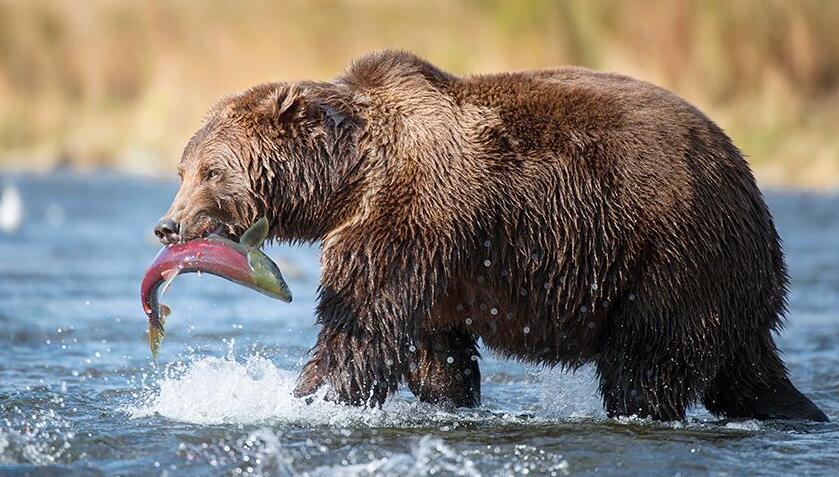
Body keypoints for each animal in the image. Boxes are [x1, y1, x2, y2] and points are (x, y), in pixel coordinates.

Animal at [156, 49, 828, 420]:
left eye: (211, 170)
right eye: (182, 169)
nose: (168, 226)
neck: (349, 176)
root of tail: (751, 189)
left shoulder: (412, 216)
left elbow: (362, 326)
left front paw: (305, 397)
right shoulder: (439, 256)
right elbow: (434, 347)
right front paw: (449, 394)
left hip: (672, 250)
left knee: (646, 364)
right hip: (720, 281)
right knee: (744, 373)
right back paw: (799, 413)